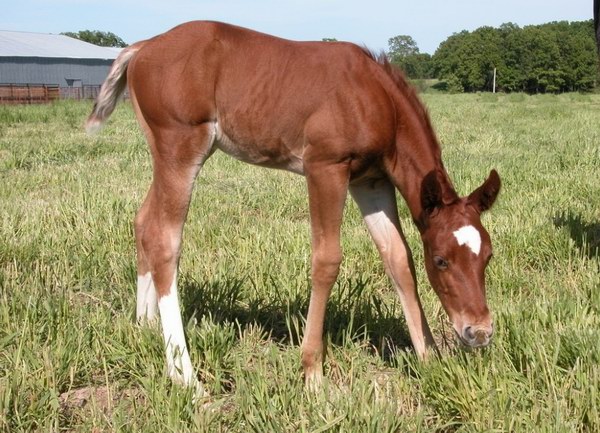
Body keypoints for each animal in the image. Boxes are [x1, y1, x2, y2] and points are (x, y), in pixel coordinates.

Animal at [88, 22, 502, 396]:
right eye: (441, 260)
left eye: (488, 257)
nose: (479, 332)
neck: (375, 97)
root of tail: (142, 47)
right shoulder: (325, 168)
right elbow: (327, 260)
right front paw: (313, 374)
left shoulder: (371, 181)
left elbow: (398, 259)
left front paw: (428, 359)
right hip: (181, 145)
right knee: (164, 238)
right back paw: (185, 376)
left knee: (144, 221)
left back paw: (145, 326)